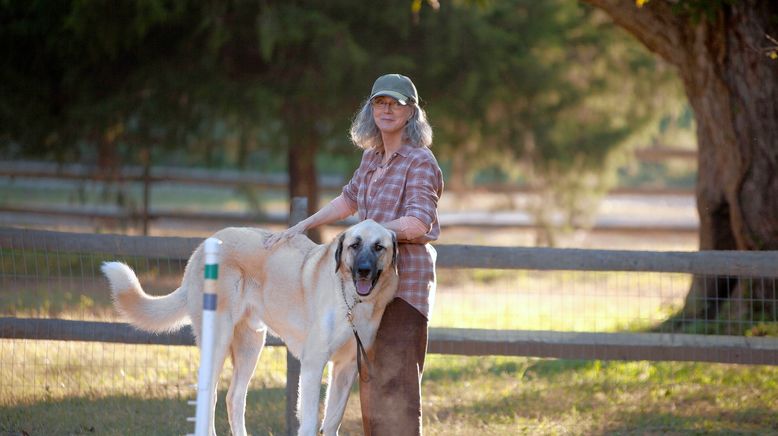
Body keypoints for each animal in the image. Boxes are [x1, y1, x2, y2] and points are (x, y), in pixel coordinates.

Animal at [100, 221, 398, 436]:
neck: (353, 301)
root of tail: (202, 248)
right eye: (354, 245)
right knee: (209, 396)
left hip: (251, 344)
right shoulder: (314, 364)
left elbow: (333, 420)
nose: (363, 270)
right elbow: (311, 421)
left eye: (379, 247)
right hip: (218, 341)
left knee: (234, 398)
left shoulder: (346, 367)